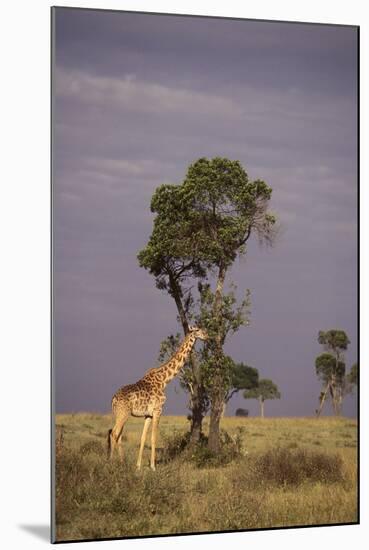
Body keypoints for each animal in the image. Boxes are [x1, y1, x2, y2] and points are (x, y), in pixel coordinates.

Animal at [106, 326, 207, 472]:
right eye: (198, 330)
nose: (207, 336)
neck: (164, 380)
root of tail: (113, 399)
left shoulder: (148, 414)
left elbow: (143, 437)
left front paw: (138, 466)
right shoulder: (158, 410)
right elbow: (154, 437)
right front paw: (153, 466)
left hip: (118, 414)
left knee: (116, 433)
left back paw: (121, 462)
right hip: (123, 413)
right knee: (114, 433)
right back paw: (112, 464)